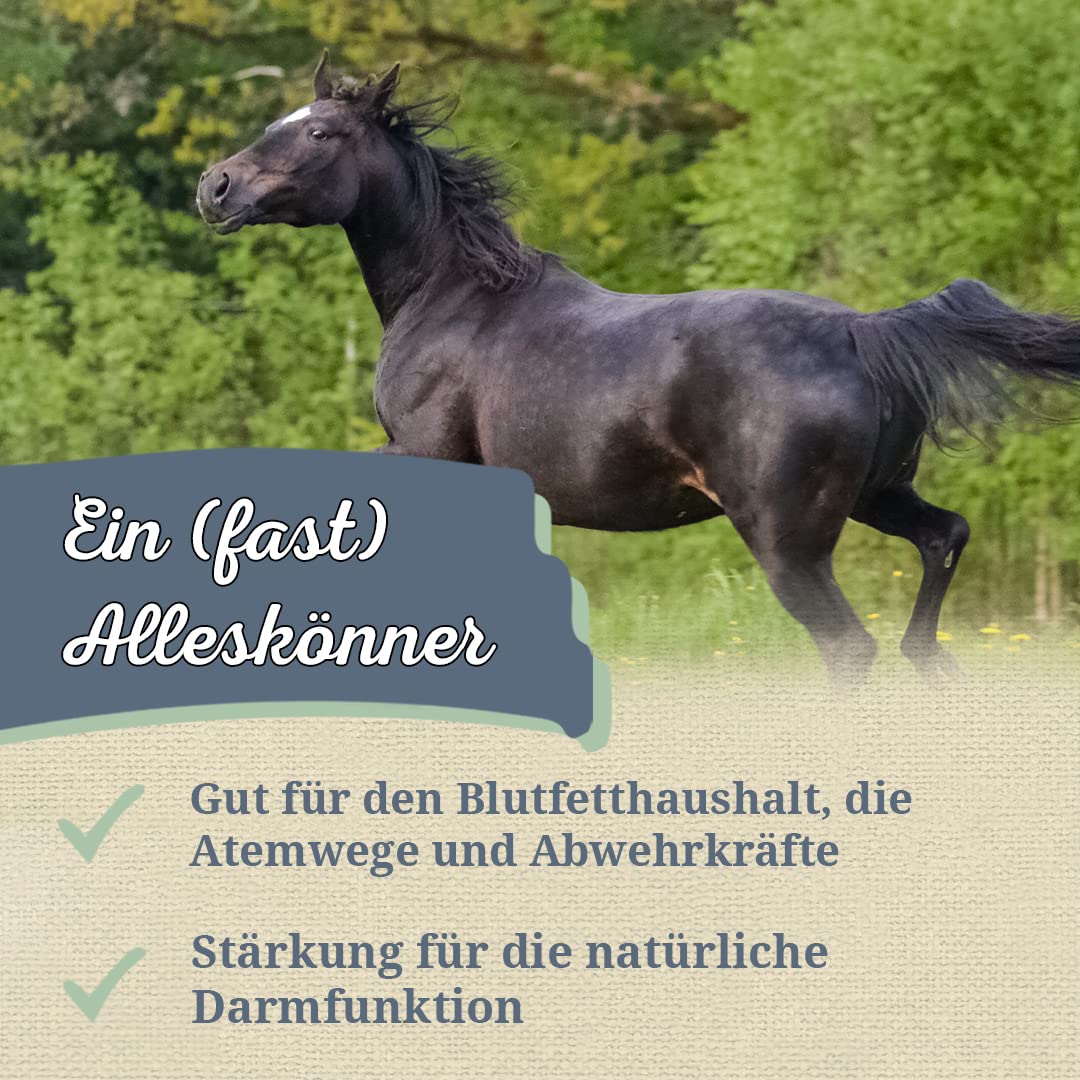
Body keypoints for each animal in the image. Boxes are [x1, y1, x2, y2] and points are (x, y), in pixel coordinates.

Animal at [197, 54, 1080, 683]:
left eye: (319, 135)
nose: (215, 186)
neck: (451, 295)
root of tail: (865, 333)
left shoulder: (422, 453)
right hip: (879, 495)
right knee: (944, 542)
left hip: (788, 541)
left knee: (850, 647)